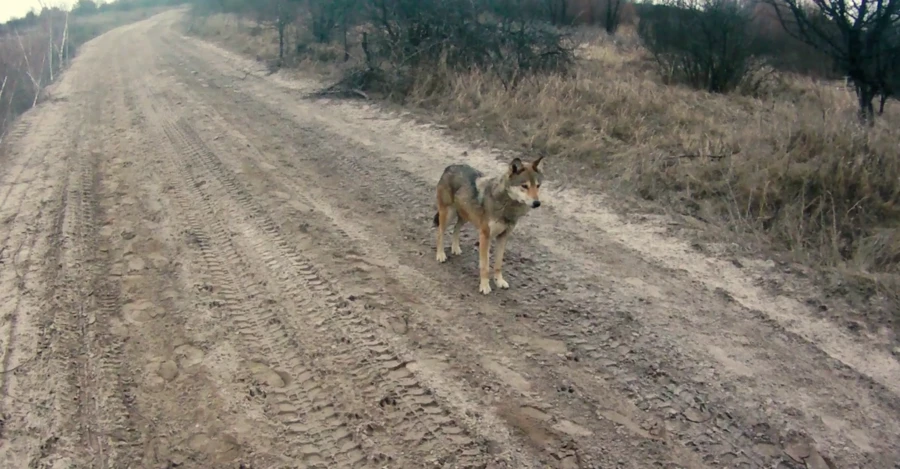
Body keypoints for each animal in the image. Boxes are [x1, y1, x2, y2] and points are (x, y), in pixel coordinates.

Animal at [432, 154, 544, 292]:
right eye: (524, 186)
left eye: (537, 186)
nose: (537, 203)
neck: (507, 206)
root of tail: (450, 167)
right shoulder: (485, 236)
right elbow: (485, 266)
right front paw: (485, 286)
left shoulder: (503, 237)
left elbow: (498, 264)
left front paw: (499, 281)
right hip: (448, 214)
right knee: (440, 232)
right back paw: (440, 255)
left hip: (465, 217)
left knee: (456, 228)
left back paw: (455, 248)